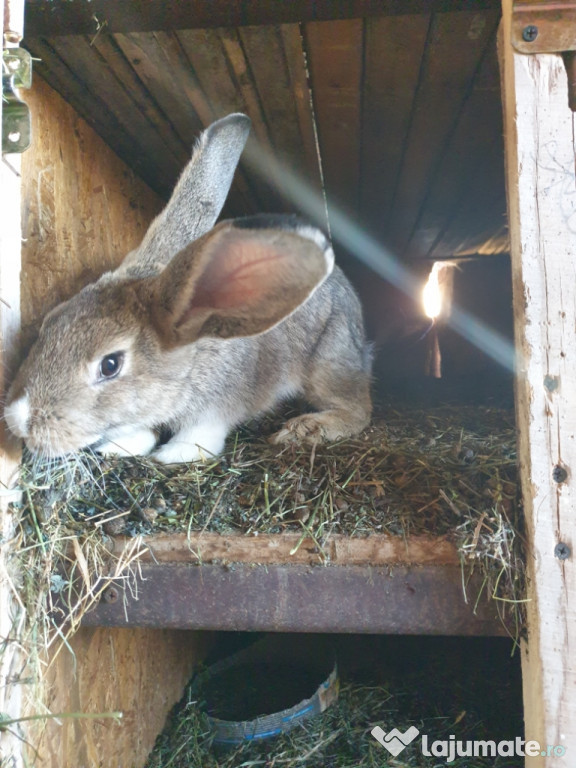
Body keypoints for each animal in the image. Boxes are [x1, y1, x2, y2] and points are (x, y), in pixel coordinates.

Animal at [5, 115, 374, 462]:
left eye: (110, 365)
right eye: (50, 321)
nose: (17, 420)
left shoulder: (218, 403)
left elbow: (201, 435)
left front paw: (173, 454)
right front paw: (121, 446)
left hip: (329, 359)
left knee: (359, 409)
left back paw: (304, 429)